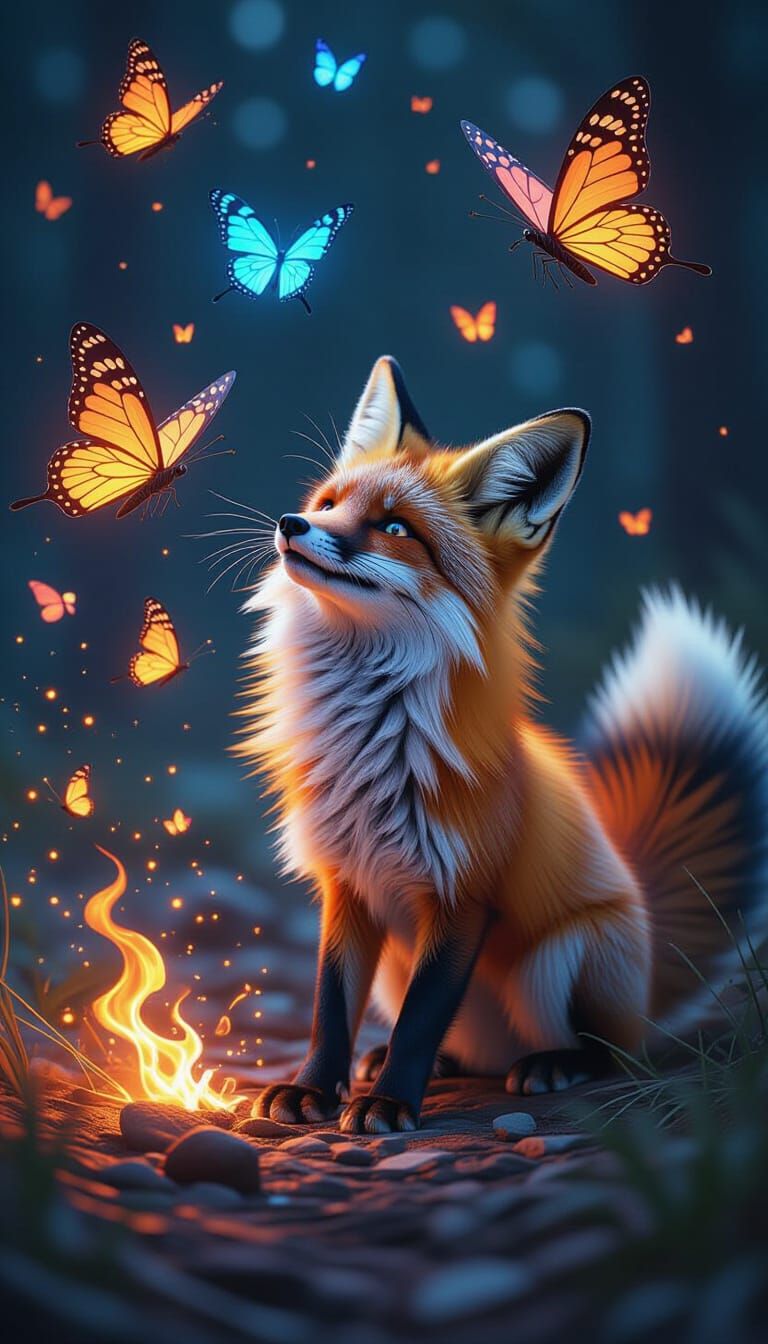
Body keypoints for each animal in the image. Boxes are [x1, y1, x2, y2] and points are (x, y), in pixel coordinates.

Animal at [239, 356, 768, 1133]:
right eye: (329, 502)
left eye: (395, 526)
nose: (292, 522)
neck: (371, 748)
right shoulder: (347, 885)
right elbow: (329, 1008)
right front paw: (314, 1087)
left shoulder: (464, 895)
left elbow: (424, 1018)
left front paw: (389, 1103)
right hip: (399, 967)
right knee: (460, 1045)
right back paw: (436, 1065)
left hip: (565, 956)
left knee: (613, 1052)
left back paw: (554, 1064)